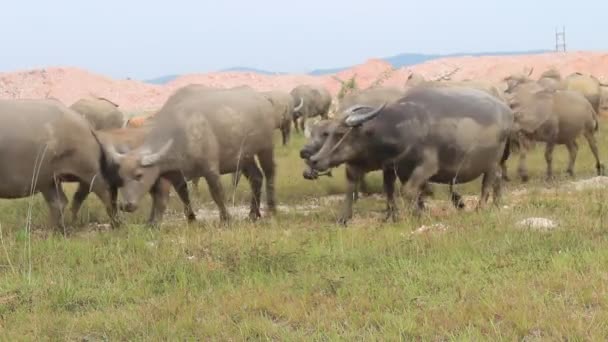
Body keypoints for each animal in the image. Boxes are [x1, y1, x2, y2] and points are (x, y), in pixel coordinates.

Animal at [102, 85, 278, 224]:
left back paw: (271, 209)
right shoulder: (172, 173)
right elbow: (171, 197)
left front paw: (226, 218)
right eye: (120, 177)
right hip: (245, 157)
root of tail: (263, 99)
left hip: (266, 148)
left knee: (269, 173)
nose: (125, 205)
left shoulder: (210, 169)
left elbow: (217, 193)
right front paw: (158, 222)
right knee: (256, 178)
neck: (179, 130)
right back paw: (253, 214)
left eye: (139, 175)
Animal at [304, 87, 512, 223]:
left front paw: (417, 214)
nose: (314, 160)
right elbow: (396, 191)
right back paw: (496, 205)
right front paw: (396, 215)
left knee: (487, 184)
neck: (403, 128)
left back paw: (481, 208)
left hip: (492, 163)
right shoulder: (395, 168)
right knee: (498, 180)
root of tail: (506, 110)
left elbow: (408, 191)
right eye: (328, 132)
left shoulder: (427, 167)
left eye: (340, 134)